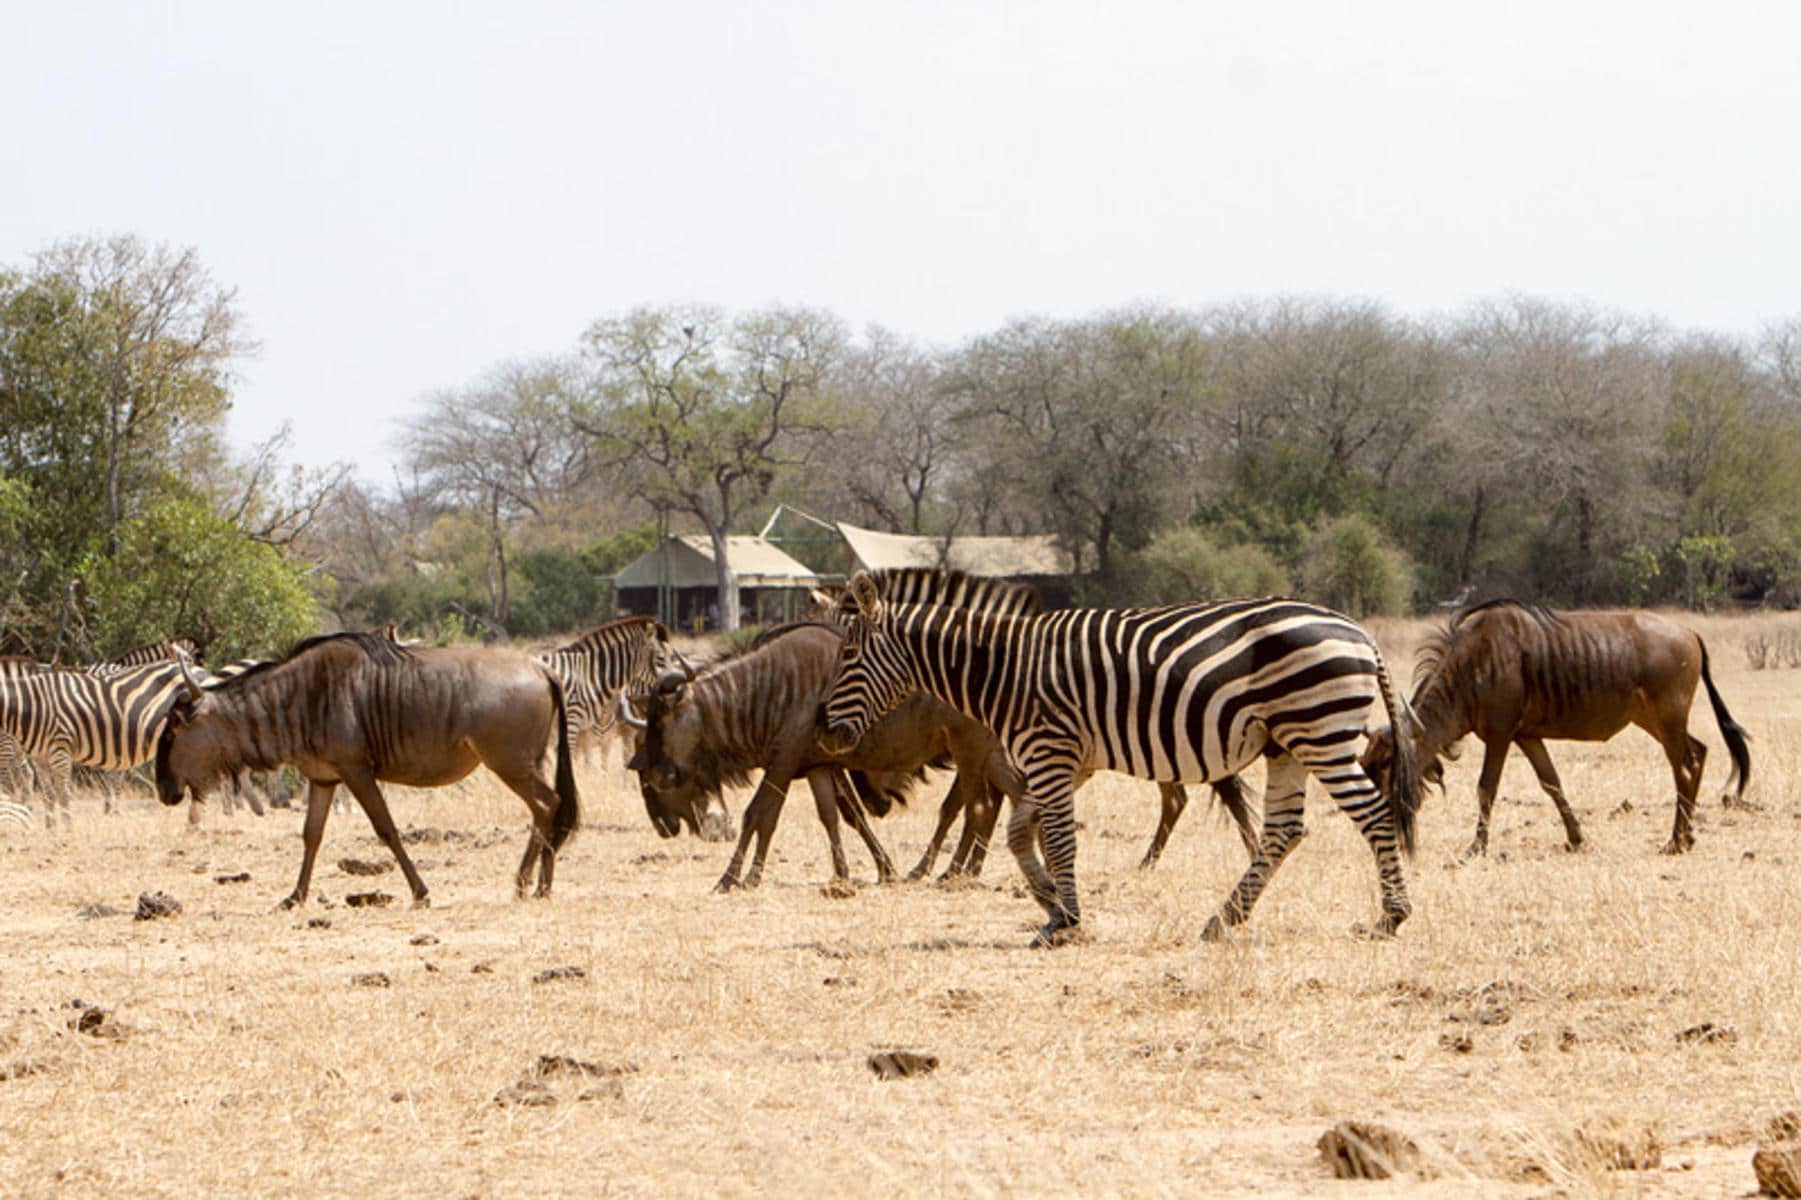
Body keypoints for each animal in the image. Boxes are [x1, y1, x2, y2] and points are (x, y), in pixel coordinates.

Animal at [819, 568, 1423, 946]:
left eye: (847, 653)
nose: (824, 733)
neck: (1003, 669)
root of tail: (1359, 631)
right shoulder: (1067, 764)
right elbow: (1020, 833)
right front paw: (1052, 904)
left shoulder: (1050, 754)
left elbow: (1058, 838)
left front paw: (1066, 921)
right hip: (1286, 744)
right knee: (1285, 830)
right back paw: (1223, 919)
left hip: (1320, 733)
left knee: (1371, 813)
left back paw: (1391, 917)